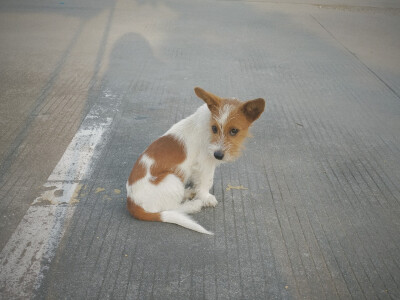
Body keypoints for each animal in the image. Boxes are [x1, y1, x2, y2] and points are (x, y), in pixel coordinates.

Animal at [126, 87, 266, 234]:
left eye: (234, 131)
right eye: (214, 128)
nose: (218, 155)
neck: (208, 125)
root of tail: (131, 202)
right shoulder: (205, 163)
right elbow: (206, 182)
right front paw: (206, 197)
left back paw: (187, 193)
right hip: (171, 178)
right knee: (171, 209)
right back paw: (193, 205)